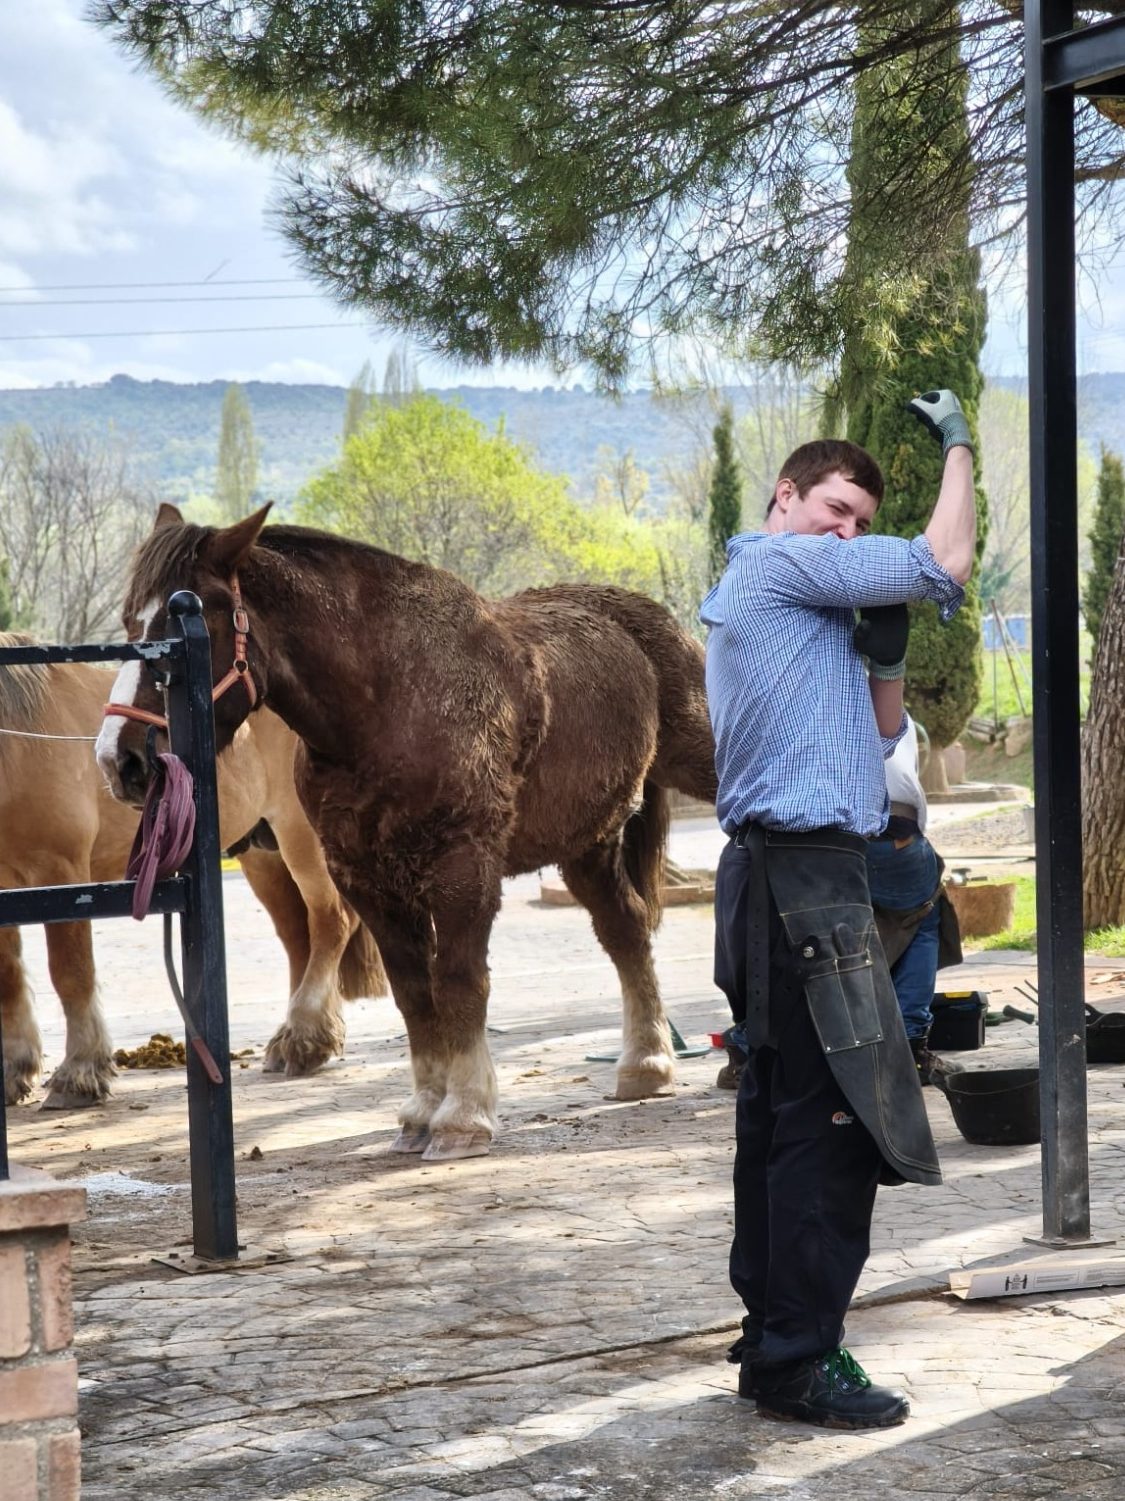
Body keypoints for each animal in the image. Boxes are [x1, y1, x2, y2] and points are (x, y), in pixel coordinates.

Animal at [1, 633, 387, 1108]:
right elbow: (8, 976)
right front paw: (14, 1069)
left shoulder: (62, 871)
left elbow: (71, 973)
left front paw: (79, 1073)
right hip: (263, 855)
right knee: (300, 936)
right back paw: (295, 1038)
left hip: (301, 839)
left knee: (331, 920)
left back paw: (305, 1036)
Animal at [96, 504, 719, 1161]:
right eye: (130, 622)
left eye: (184, 625)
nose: (121, 760)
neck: (391, 702)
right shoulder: (366, 879)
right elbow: (414, 994)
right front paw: (422, 1111)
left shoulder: (464, 871)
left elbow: (459, 984)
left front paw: (464, 1116)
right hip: (588, 843)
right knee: (626, 931)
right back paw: (646, 1065)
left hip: (704, 769)